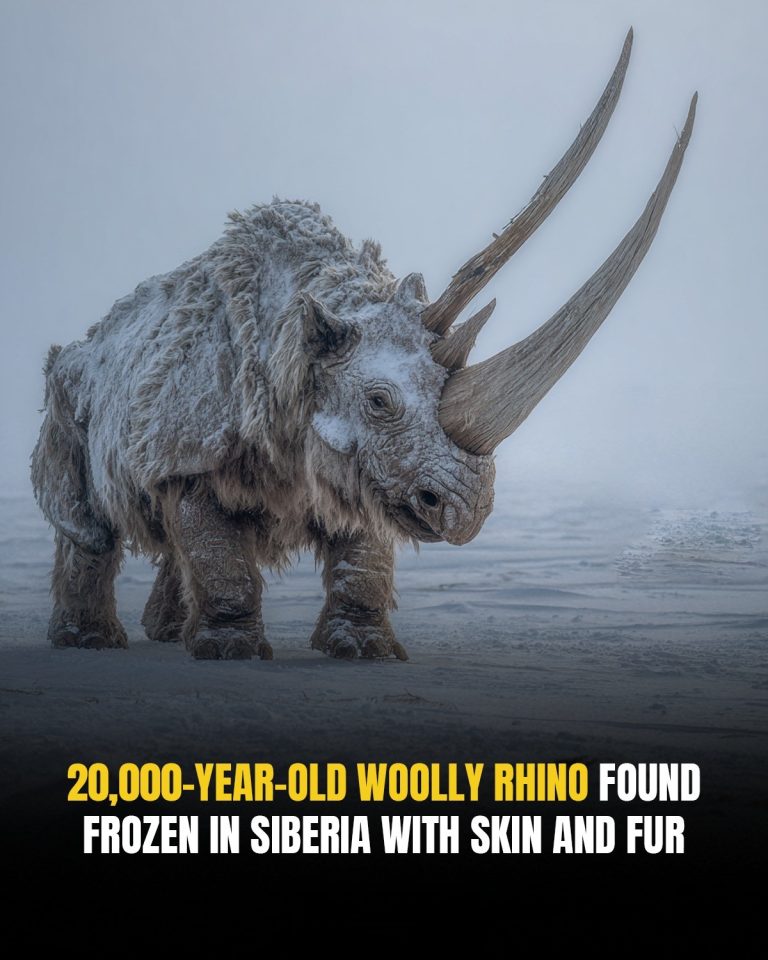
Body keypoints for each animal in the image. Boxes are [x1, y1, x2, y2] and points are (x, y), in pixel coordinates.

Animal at [31, 32, 696, 661]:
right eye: (377, 402)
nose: (467, 513)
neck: (297, 341)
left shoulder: (373, 471)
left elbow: (364, 557)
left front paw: (363, 649)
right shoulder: (187, 448)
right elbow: (218, 552)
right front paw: (230, 652)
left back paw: (166, 633)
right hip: (72, 385)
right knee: (87, 520)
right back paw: (92, 641)